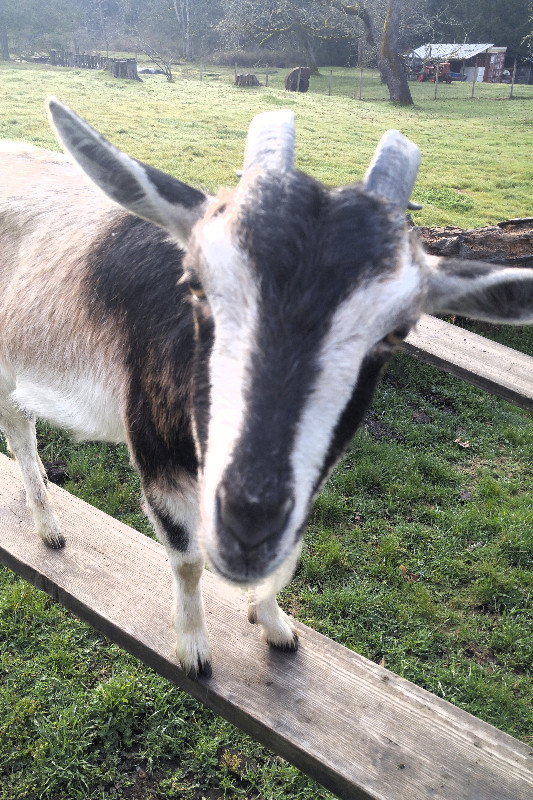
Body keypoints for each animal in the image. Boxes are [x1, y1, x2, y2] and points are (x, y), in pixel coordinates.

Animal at [1, 98, 532, 676]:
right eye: (197, 285)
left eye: (397, 330)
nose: (249, 522)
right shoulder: (155, 450)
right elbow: (187, 559)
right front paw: (193, 649)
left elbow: (285, 559)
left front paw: (275, 626)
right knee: (20, 433)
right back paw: (49, 528)